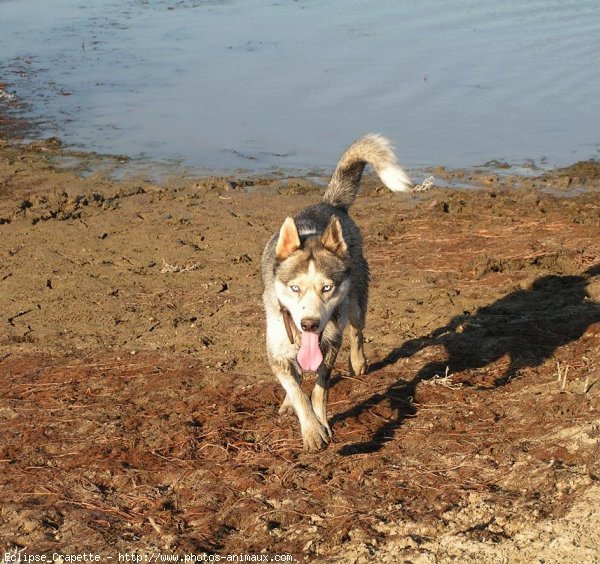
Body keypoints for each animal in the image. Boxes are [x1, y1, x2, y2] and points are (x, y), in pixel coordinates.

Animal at [262, 134, 412, 452]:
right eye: (295, 288)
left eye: (327, 288)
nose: (309, 324)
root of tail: (330, 204)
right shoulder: (278, 350)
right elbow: (297, 390)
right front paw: (310, 428)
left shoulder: (330, 342)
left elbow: (320, 389)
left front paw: (320, 424)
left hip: (356, 301)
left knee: (356, 330)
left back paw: (358, 361)